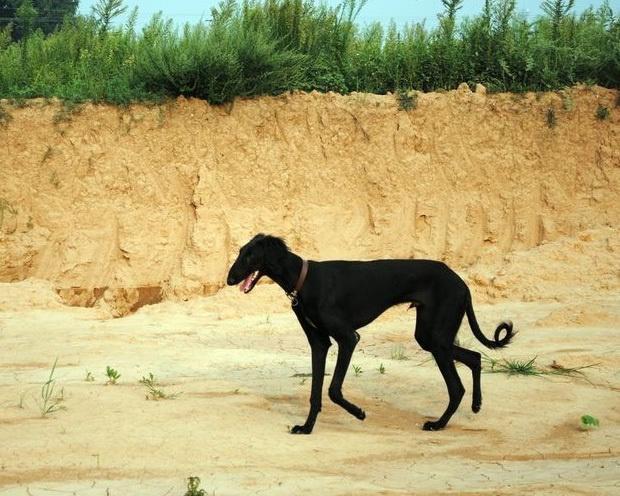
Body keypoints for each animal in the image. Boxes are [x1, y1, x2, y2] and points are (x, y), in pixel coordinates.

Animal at [228, 234, 512, 432]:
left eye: (250, 256)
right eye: (240, 252)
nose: (229, 280)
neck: (304, 279)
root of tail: (462, 283)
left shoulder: (348, 338)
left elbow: (333, 389)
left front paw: (359, 413)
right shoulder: (319, 343)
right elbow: (315, 392)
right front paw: (307, 428)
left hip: (436, 338)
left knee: (456, 387)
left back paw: (438, 424)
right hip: (430, 336)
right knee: (475, 356)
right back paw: (476, 405)